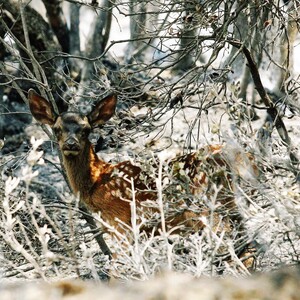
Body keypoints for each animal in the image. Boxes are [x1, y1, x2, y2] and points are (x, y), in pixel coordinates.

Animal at [27, 89, 258, 270]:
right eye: (57, 129)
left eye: (86, 129)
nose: (71, 144)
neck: (97, 181)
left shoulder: (121, 223)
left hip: (210, 207)